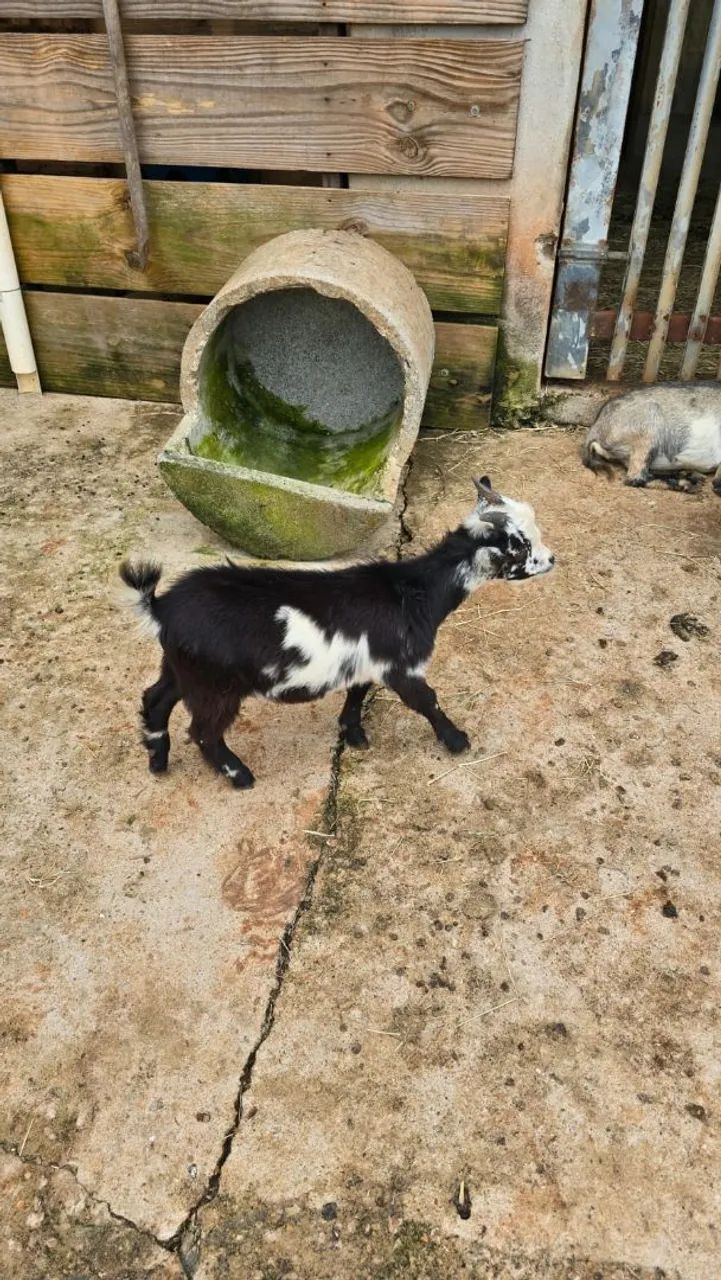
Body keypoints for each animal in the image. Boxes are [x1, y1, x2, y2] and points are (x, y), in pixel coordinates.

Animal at [120, 477, 554, 789]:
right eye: (520, 546)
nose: (551, 559)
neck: (414, 591)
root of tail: (161, 606)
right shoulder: (403, 667)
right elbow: (427, 701)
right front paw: (456, 740)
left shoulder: (368, 660)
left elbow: (357, 693)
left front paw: (355, 734)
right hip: (215, 686)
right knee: (204, 731)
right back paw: (239, 775)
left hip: (181, 668)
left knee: (155, 699)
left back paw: (157, 760)